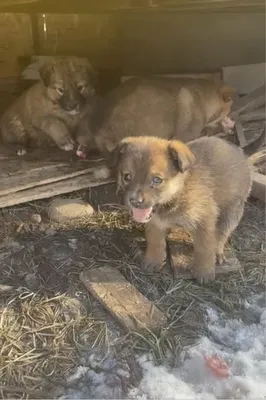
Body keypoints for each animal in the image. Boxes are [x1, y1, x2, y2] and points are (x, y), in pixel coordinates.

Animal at [111, 137, 251, 284]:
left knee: (221, 236)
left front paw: (204, 272)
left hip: (231, 212)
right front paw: (153, 261)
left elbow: (205, 248)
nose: (134, 201)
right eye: (127, 177)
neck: (178, 194)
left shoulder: (205, 221)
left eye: (157, 180)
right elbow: (155, 242)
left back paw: (218, 253)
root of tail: (239, 153)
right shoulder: (155, 223)